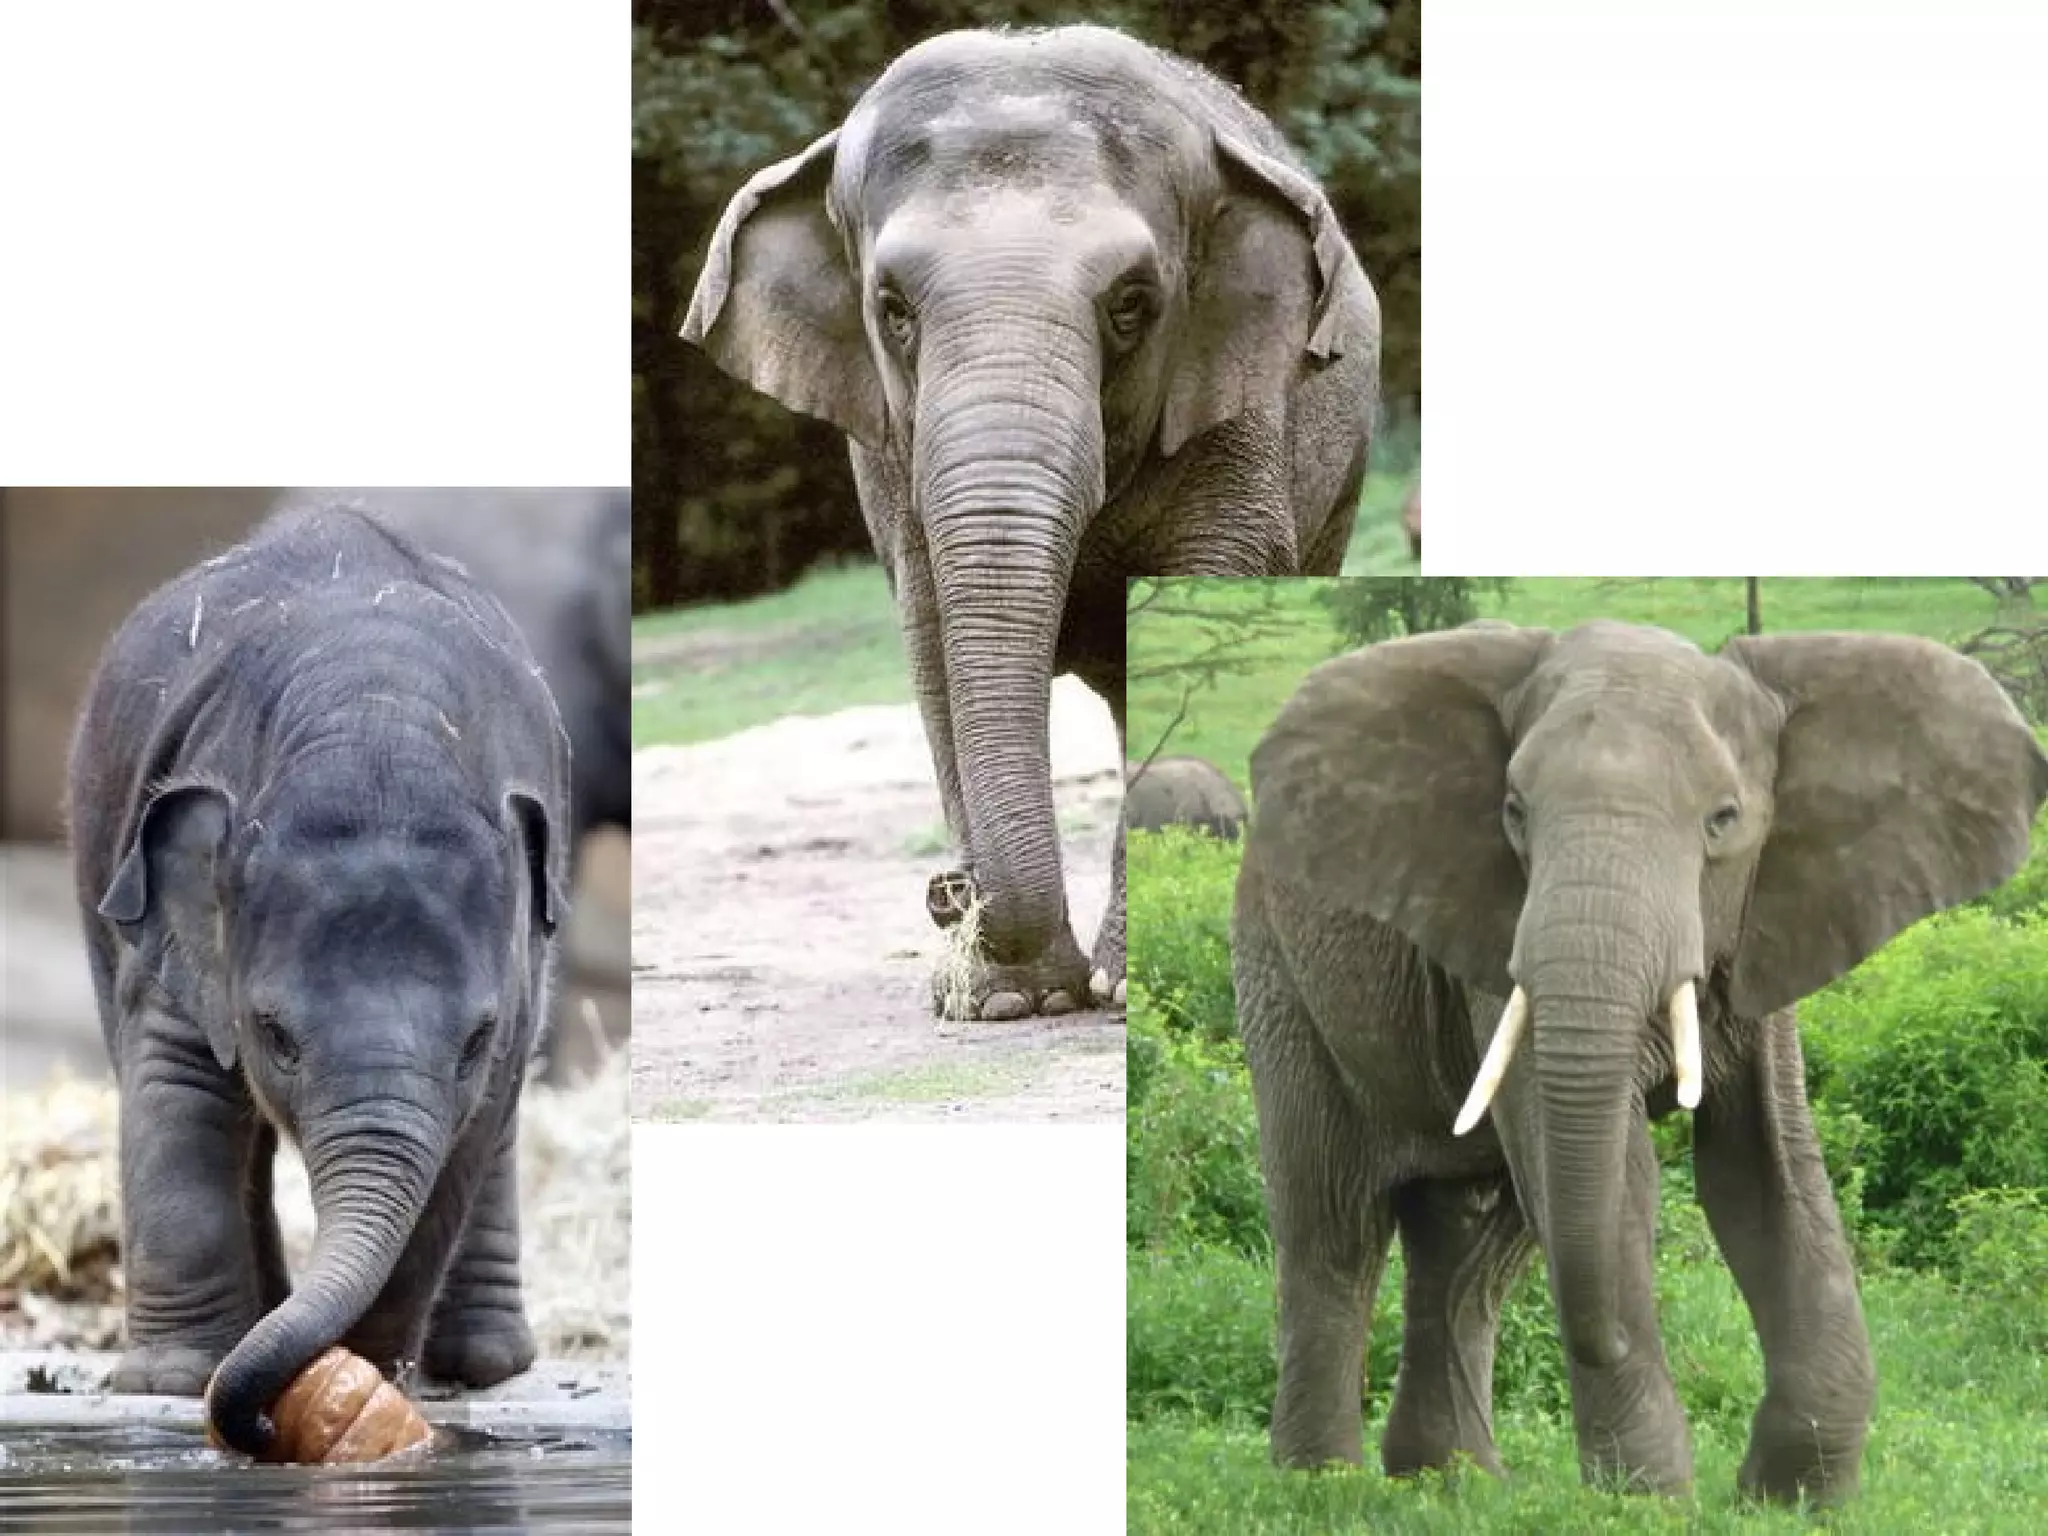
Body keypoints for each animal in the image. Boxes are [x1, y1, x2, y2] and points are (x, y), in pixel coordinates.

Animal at [67, 505, 570, 1459]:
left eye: (475, 1040)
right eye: (274, 1033)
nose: (260, 1420)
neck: (379, 726)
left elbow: (463, 1150)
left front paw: (371, 1368)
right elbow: (175, 1089)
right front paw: (172, 1380)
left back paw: (482, 1364)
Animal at [682, 23, 1379, 1022]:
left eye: (1131, 305)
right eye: (892, 310)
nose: (948, 894)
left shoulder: (1239, 411)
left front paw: (1088, 990)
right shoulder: (887, 456)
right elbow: (935, 643)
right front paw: (1005, 1002)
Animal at [1232, 618, 2048, 1505]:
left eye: (1723, 819)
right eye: (1514, 813)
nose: (1609, 1342)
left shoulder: (1766, 929)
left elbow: (1767, 1172)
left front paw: (1789, 1498)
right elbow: (1618, 1178)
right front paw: (1647, 1500)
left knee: (1471, 1248)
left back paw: (1454, 1484)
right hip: (1278, 972)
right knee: (1334, 1223)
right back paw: (1321, 1485)